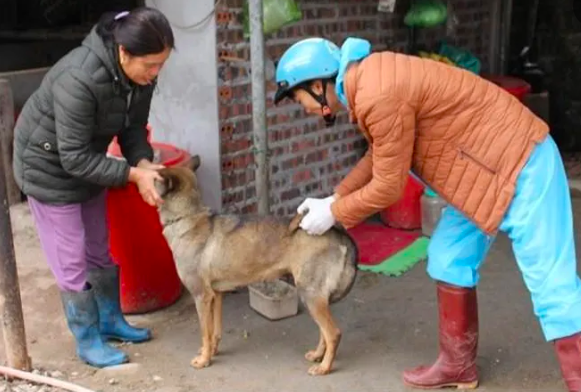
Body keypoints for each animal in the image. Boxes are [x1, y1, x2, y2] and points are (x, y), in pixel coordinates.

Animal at [154, 157, 358, 376]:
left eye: (155, 176)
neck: (188, 217)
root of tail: (338, 233)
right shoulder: (216, 295)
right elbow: (214, 332)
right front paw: (212, 352)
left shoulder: (202, 296)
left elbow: (204, 333)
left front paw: (204, 360)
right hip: (316, 297)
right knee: (324, 331)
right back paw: (318, 355)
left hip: (310, 294)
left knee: (333, 333)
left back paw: (324, 367)